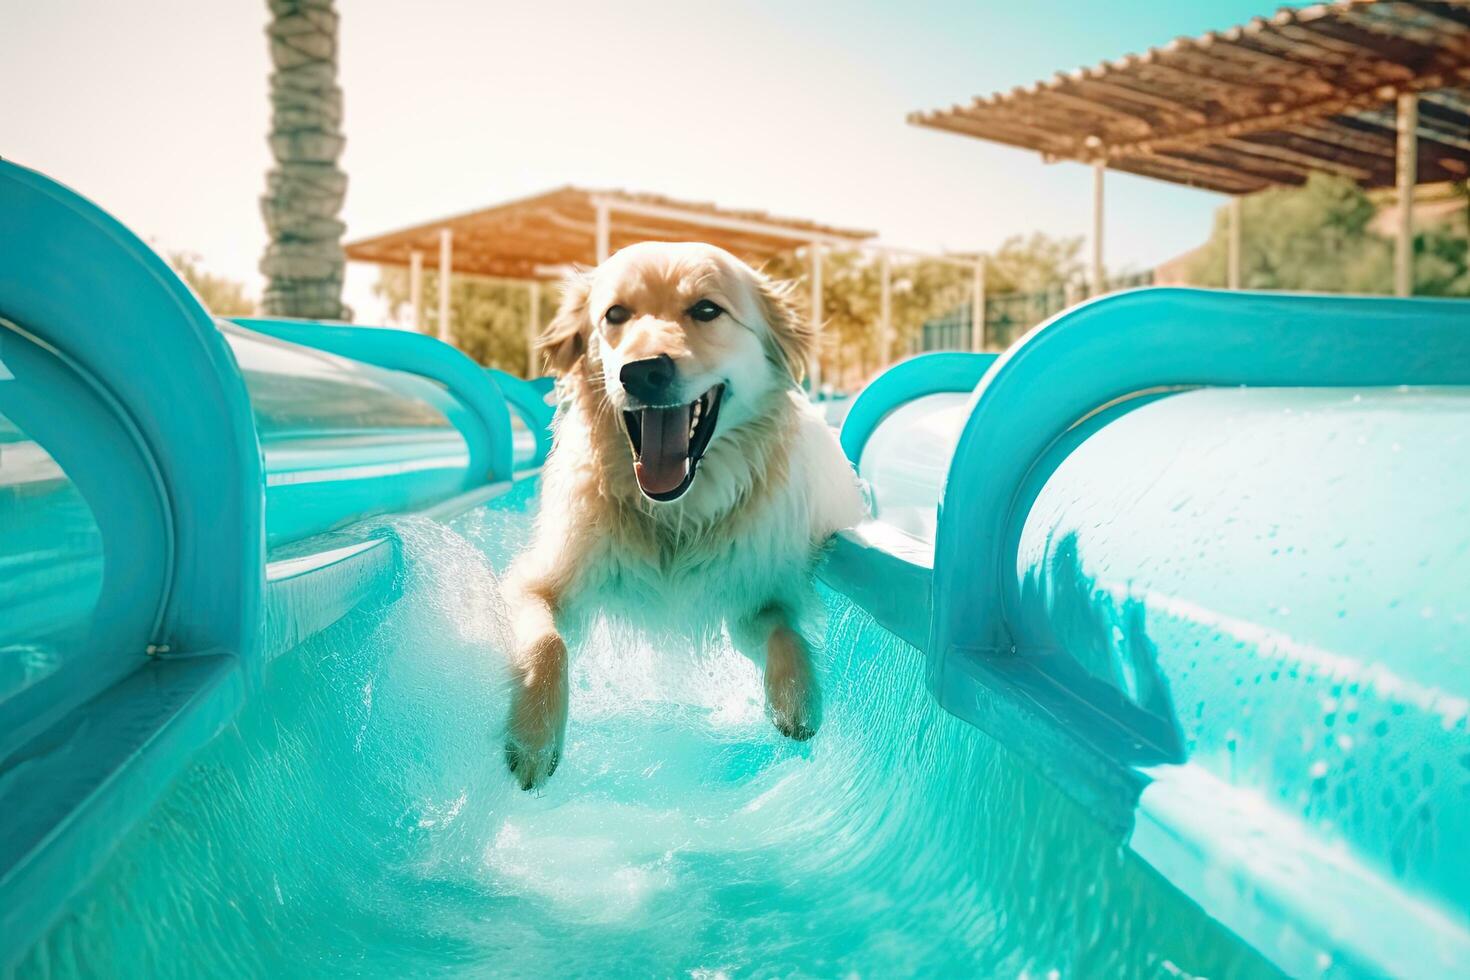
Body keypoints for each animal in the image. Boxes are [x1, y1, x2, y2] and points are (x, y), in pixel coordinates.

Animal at [505, 240, 870, 793]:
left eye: (706, 310)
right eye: (615, 314)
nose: (642, 371)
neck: (675, 514)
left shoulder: (751, 600)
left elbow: (784, 631)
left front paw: (796, 699)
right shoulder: (538, 582)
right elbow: (548, 643)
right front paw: (534, 739)